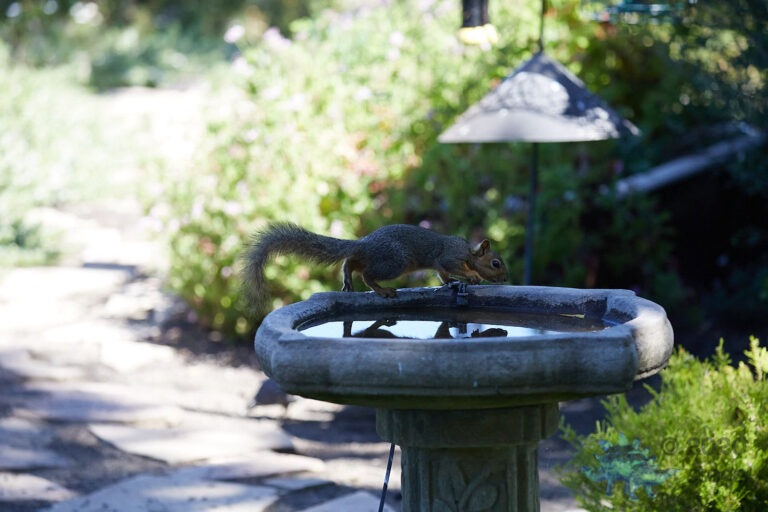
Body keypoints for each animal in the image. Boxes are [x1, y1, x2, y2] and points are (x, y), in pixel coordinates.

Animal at [243, 222, 508, 315]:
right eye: (495, 263)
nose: (506, 278)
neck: (469, 253)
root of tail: (365, 242)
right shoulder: (451, 256)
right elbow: (450, 266)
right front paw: (472, 275)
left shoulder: (440, 266)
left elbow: (443, 276)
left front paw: (452, 283)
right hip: (394, 263)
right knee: (367, 274)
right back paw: (383, 291)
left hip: (380, 259)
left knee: (351, 261)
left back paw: (347, 279)